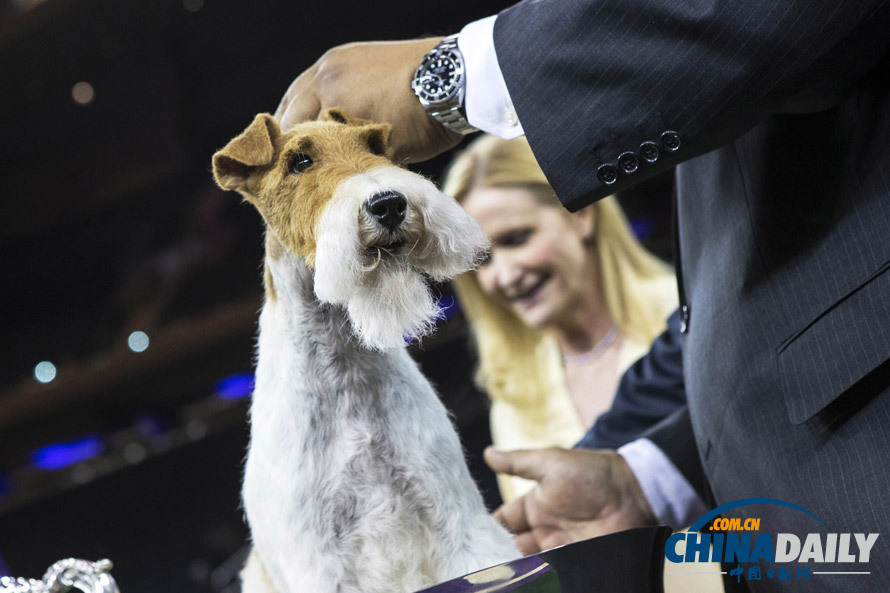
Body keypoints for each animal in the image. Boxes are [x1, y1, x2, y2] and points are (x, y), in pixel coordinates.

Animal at [212, 110, 516, 592]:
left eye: (373, 145)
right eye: (299, 162)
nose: (388, 204)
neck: (344, 369)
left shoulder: (457, 520)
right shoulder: (319, 562)